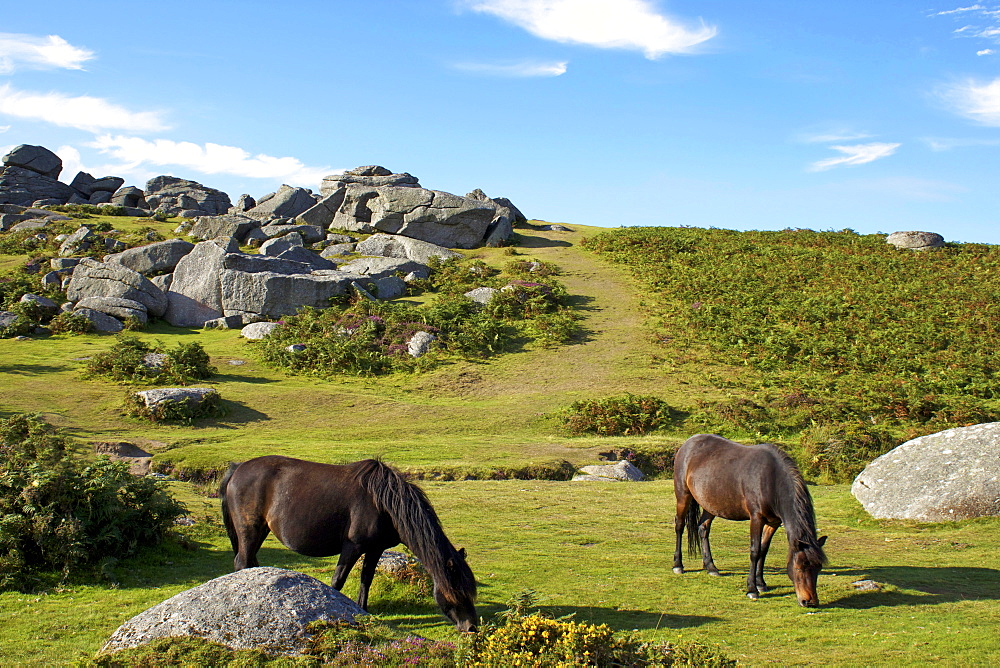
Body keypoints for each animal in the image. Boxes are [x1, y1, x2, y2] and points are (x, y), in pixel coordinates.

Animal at [221, 454, 478, 632]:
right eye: (457, 590)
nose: (472, 627)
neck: (384, 503)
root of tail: (237, 469)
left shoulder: (375, 549)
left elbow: (366, 580)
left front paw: (363, 611)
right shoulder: (352, 547)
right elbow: (337, 581)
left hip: (260, 531)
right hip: (249, 530)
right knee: (242, 562)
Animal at [672, 434, 828, 604]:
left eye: (819, 567)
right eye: (800, 566)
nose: (810, 601)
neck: (771, 479)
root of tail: (688, 443)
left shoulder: (774, 522)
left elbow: (764, 550)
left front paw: (761, 583)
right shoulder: (756, 518)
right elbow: (755, 551)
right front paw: (752, 589)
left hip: (710, 503)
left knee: (703, 528)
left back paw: (711, 567)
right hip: (683, 495)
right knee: (679, 526)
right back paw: (678, 565)